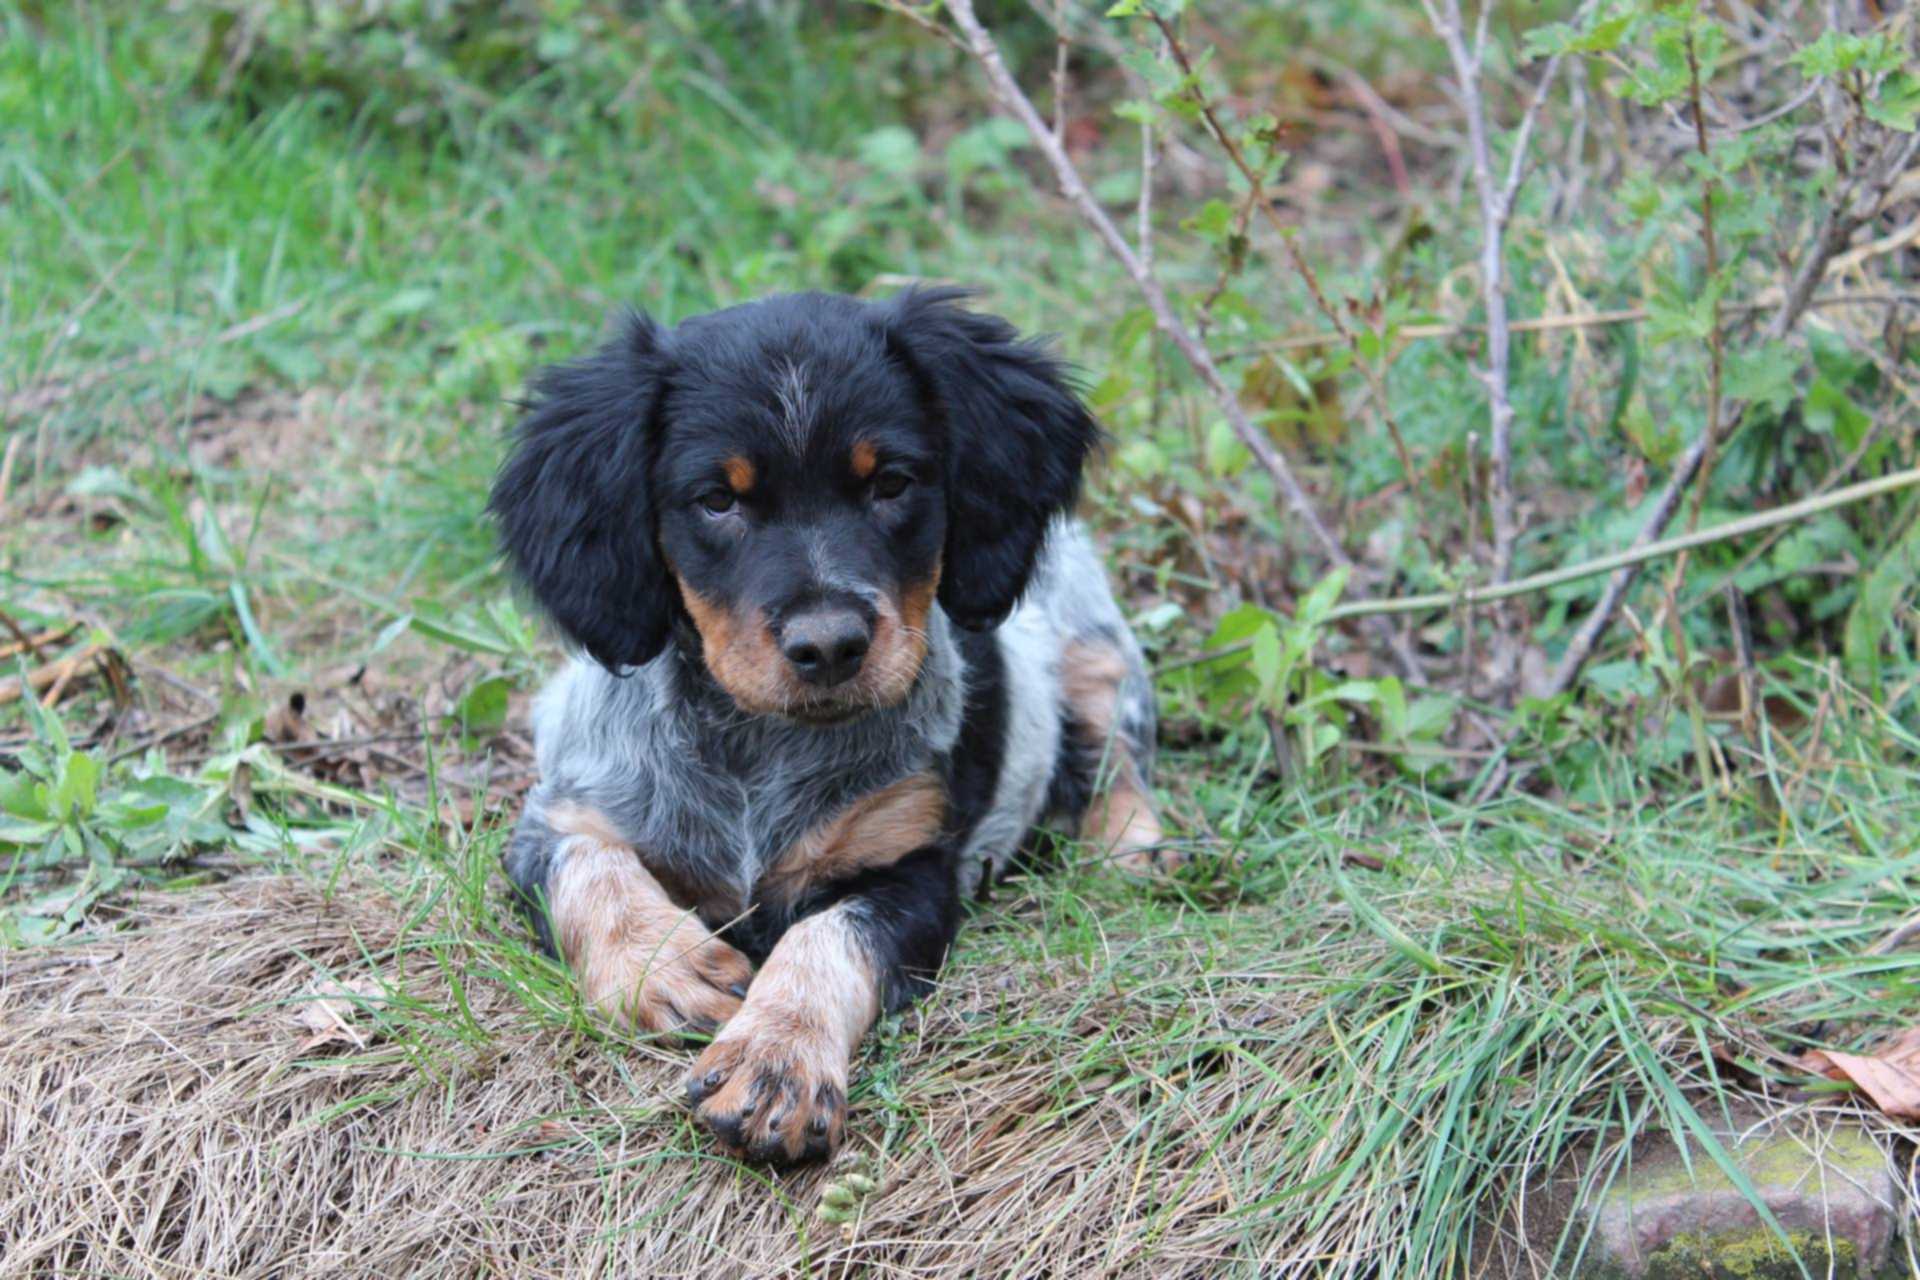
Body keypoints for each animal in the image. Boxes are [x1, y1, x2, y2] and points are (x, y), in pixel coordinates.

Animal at [487, 293, 1159, 1174]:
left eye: (893, 484)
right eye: (718, 500)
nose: (831, 645)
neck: (756, 748)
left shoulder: (910, 866)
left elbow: (824, 937)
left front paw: (776, 1060)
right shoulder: (558, 815)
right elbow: (590, 868)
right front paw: (665, 967)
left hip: (1095, 649)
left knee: (1121, 754)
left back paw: (1131, 853)